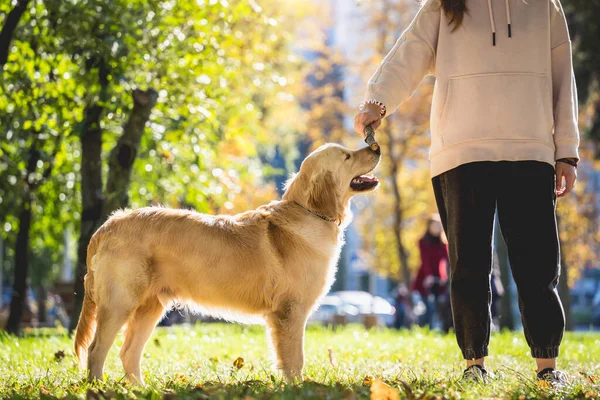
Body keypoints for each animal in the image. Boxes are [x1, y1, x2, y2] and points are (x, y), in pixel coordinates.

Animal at [71, 144, 380, 384]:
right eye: (347, 156)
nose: (375, 147)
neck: (310, 212)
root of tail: (106, 226)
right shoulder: (290, 311)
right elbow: (295, 360)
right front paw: (298, 387)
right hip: (120, 301)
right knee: (96, 350)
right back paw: (99, 387)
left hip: (149, 306)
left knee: (128, 352)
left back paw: (138, 388)